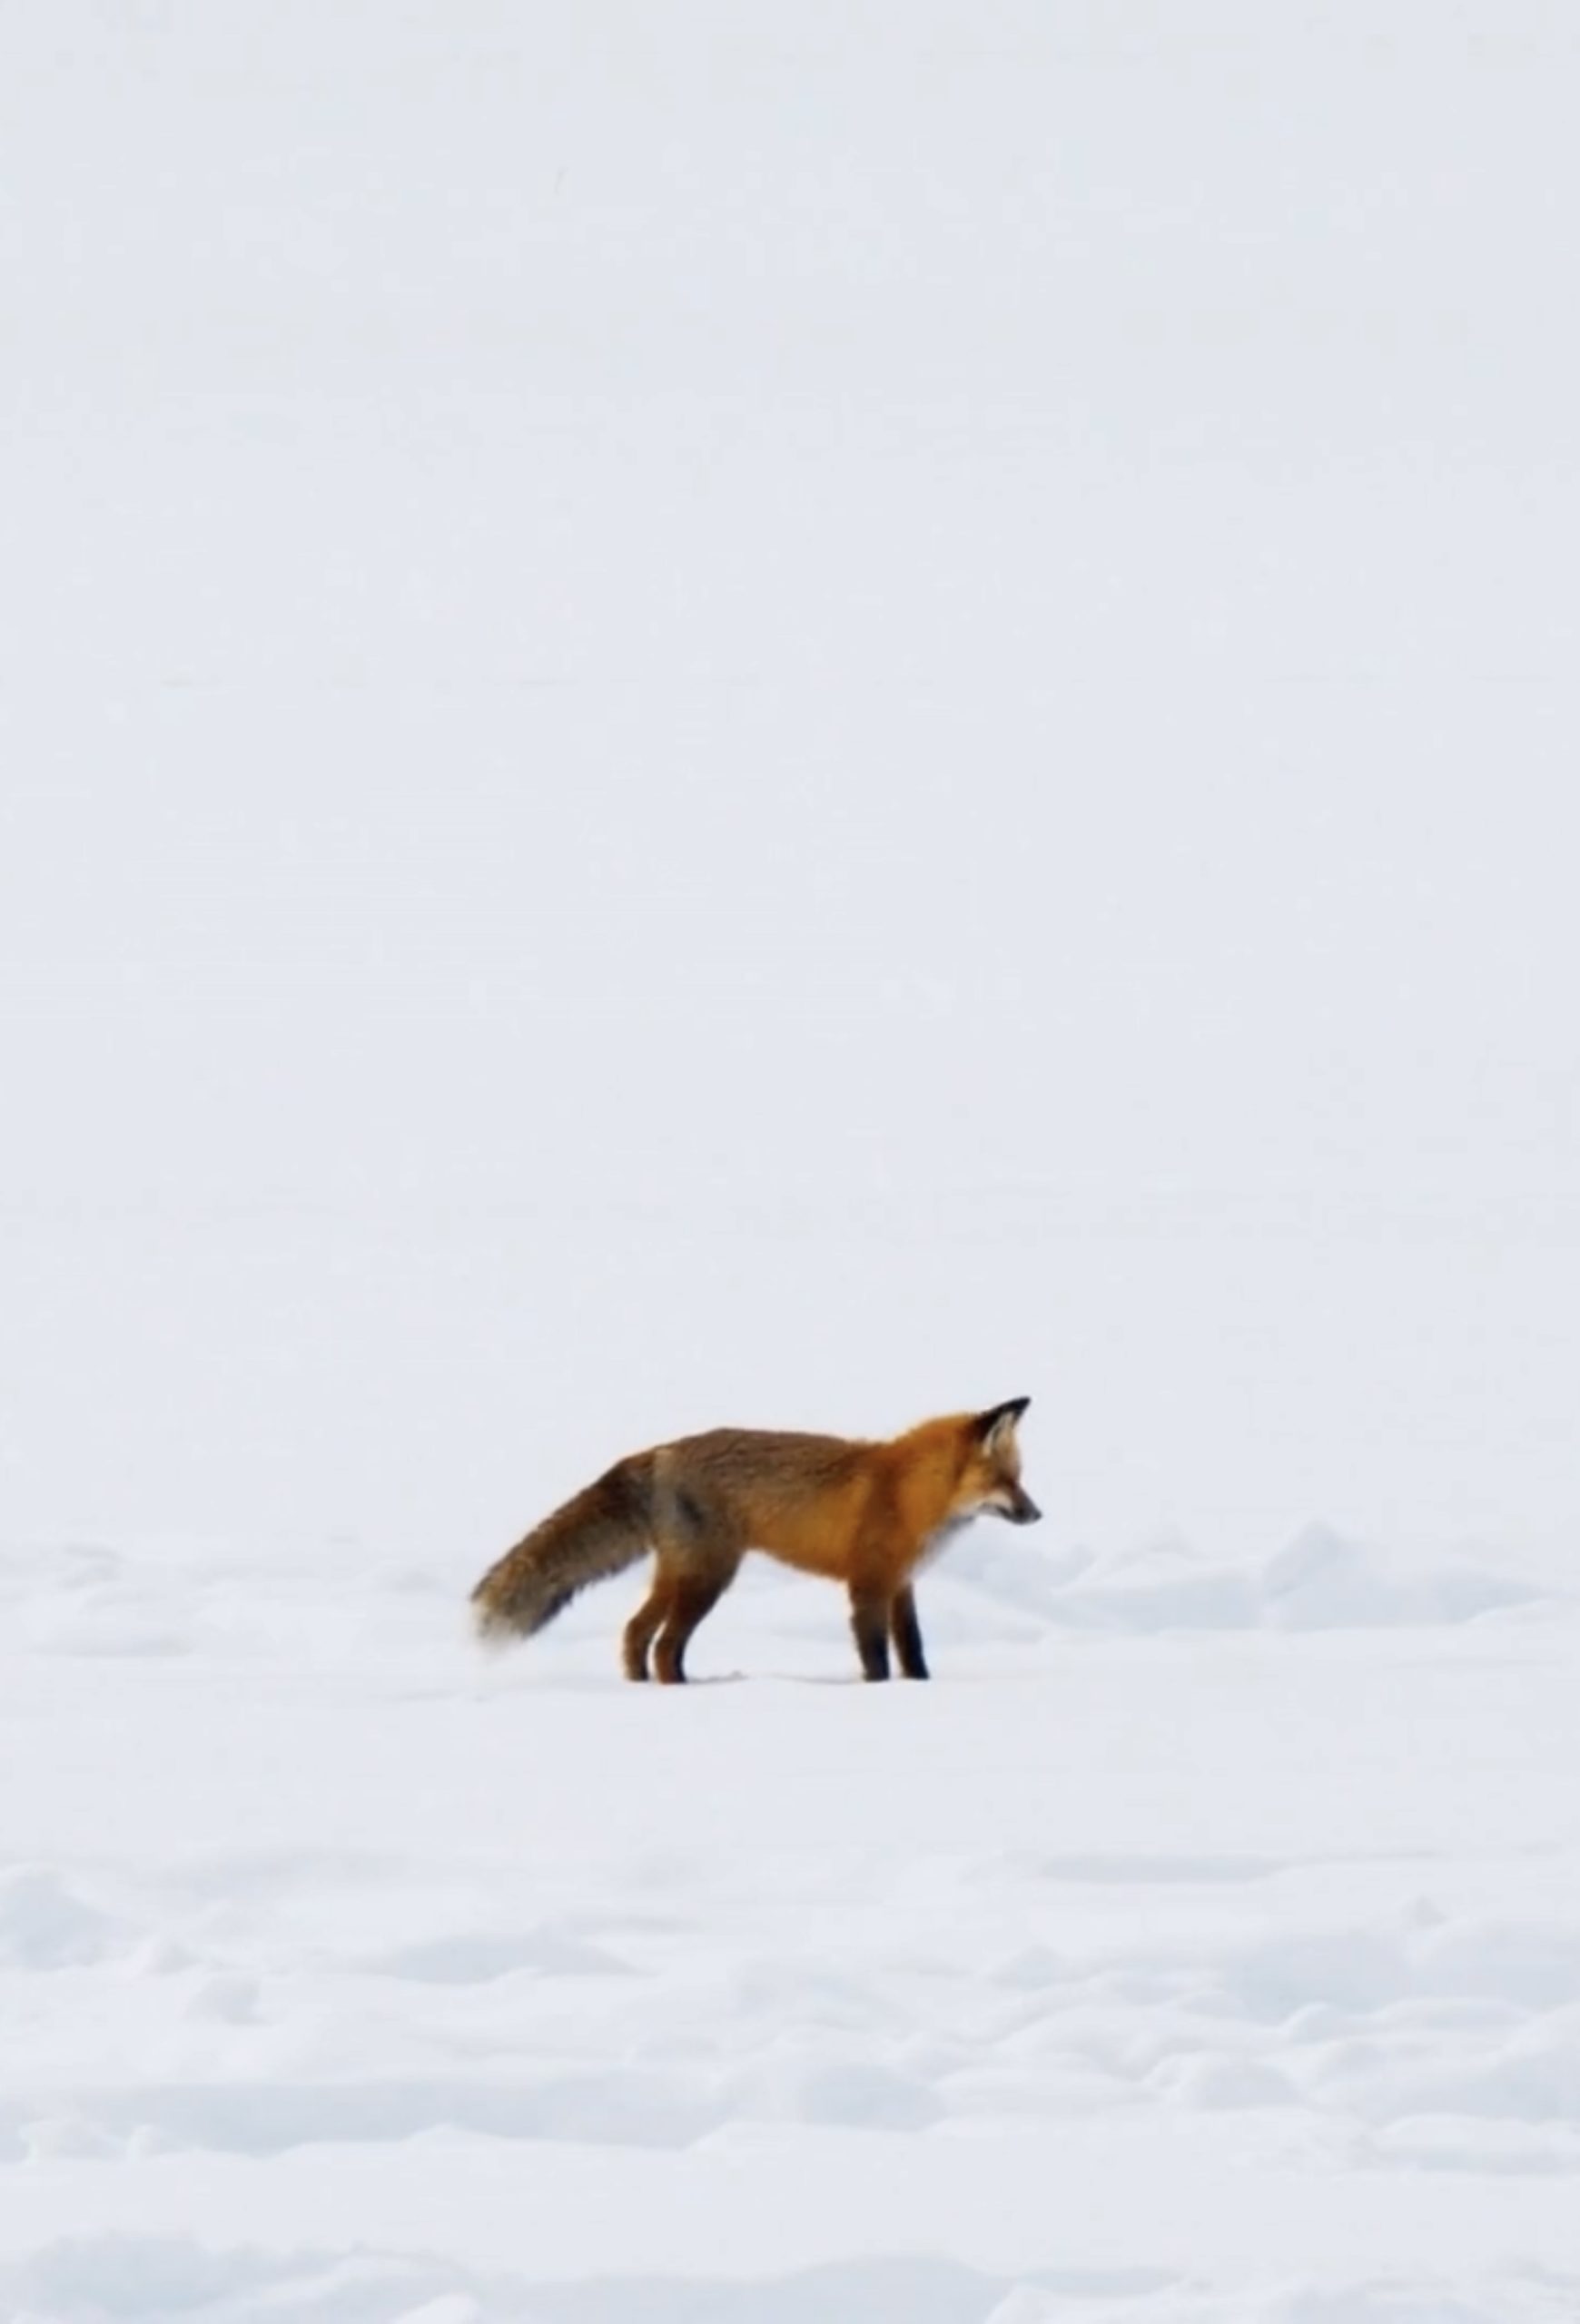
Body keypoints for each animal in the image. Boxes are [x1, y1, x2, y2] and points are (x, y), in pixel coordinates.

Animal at [469, 1384, 1036, 1682]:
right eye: (1007, 1482)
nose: (1038, 1515)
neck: (906, 1492)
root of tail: (660, 1452)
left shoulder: (901, 1585)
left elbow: (913, 1649)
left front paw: (920, 1689)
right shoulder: (869, 1584)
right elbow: (876, 1655)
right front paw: (879, 1691)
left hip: (681, 1574)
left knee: (636, 1632)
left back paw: (642, 1687)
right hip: (708, 1577)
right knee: (665, 1644)